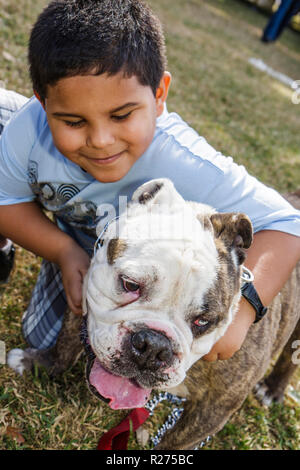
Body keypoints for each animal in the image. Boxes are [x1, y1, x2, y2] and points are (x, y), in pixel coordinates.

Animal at [7, 179, 300, 448]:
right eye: (130, 284)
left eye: (203, 321)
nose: (154, 346)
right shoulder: (82, 293)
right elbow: (65, 344)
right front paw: (38, 364)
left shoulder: (217, 405)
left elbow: (177, 440)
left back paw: (272, 389)